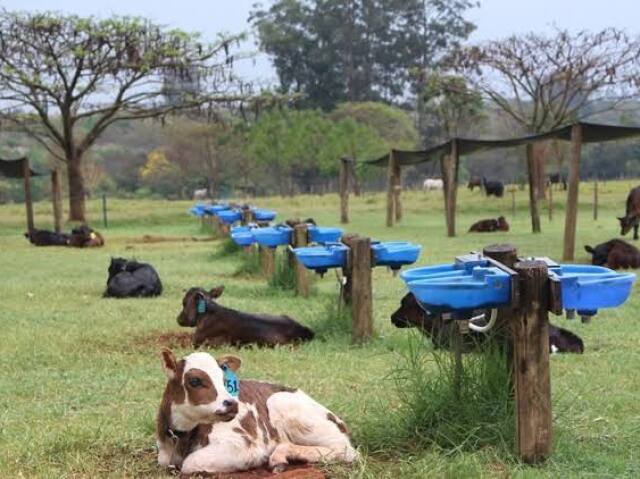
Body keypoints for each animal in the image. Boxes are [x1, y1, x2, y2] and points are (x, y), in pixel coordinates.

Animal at [154, 348, 356, 476]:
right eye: (195, 381)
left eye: (224, 380)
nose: (232, 404)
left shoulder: (244, 446)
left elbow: (190, 463)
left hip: (281, 402)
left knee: (346, 451)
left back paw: (279, 456)